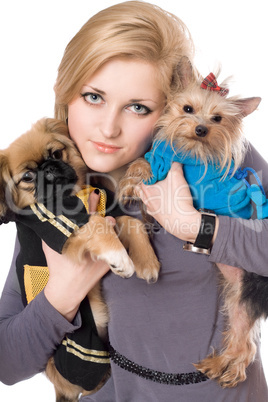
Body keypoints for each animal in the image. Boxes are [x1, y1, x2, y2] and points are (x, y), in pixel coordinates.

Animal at [0, 118, 159, 400]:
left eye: (55, 154)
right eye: (27, 177)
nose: (48, 169)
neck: (73, 198)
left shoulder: (110, 212)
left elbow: (132, 223)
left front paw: (146, 262)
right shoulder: (67, 229)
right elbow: (97, 225)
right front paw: (120, 258)